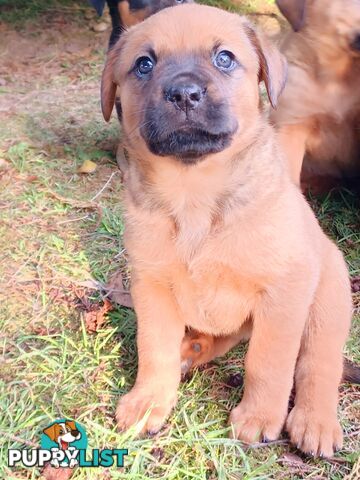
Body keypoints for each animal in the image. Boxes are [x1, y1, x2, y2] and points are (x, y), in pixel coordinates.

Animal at [100, 4, 352, 458]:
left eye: (224, 58)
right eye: (144, 64)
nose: (184, 93)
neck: (195, 196)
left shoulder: (284, 291)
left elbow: (269, 362)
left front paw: (259, 416)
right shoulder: (152, 286)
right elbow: (154, 348)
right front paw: (149, 401)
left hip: (327, 303)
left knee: (319, 366)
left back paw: (316, 421)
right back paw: (192, 349)